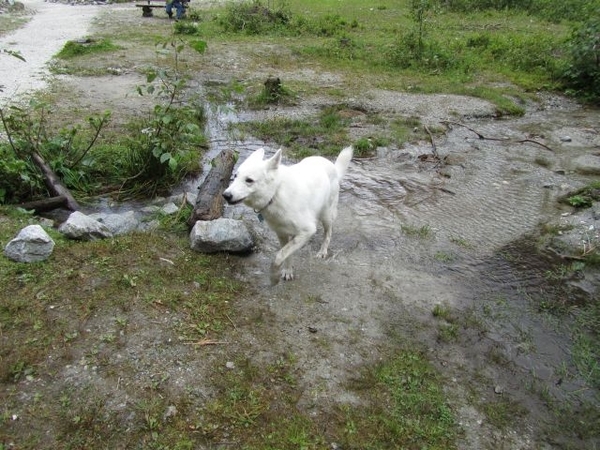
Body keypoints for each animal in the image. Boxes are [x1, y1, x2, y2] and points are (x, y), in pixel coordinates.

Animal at [223, 146, 354, 284]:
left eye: (249, 180)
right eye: (236, 176)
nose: (225, 195)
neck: (274, 194)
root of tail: (334, 167)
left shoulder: (307, 231)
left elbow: (279, 256)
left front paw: (274, 277)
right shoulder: (282, 234)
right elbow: (286, 254)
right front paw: (287, 271)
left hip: (326, 215)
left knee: (328, 233)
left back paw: (323, 251)